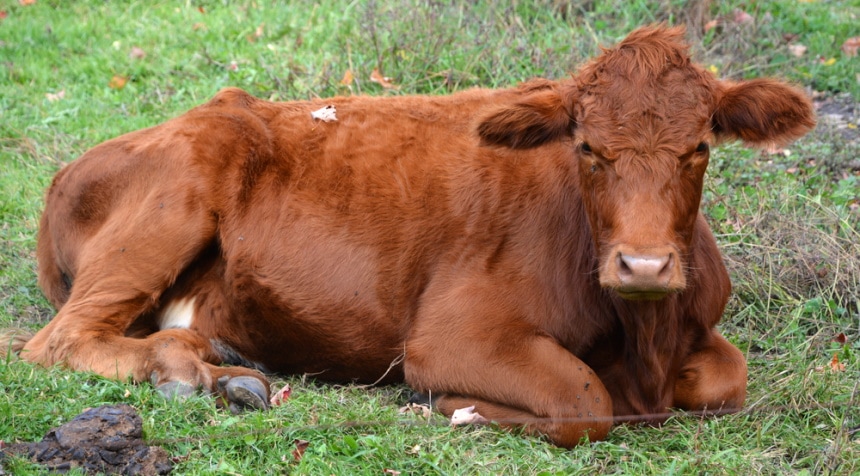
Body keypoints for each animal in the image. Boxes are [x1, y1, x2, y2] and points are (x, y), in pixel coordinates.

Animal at [6, 27, 812, 448]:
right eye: (587, 148)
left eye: (699, 147)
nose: (643, 266)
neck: (644, 339)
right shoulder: (452, 336)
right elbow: (582, 398)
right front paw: (455, 406)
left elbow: (727, 379)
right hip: (173, 202)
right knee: (58, 341)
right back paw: (190, 373)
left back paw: (223, 369)